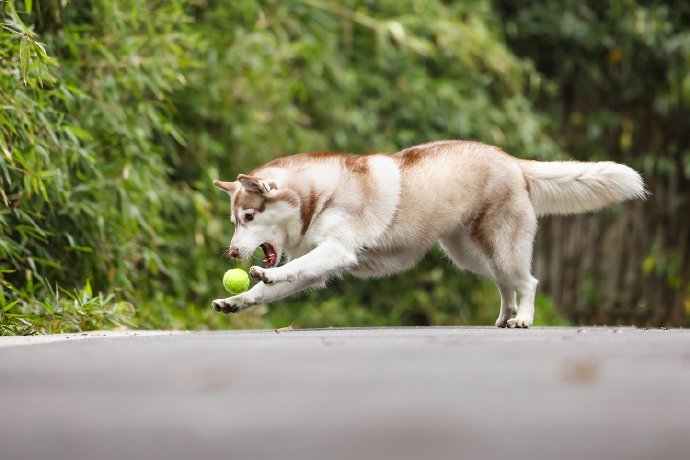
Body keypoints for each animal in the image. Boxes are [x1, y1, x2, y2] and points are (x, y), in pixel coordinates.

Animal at [211, 140, 644, 328]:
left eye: (248, 216)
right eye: (235, 221)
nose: (231, 254)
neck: (320, 194)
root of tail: (511, 160)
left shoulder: (337, 249)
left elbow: (285, 270)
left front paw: (267, 273)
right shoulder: (318, 267)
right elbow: (266, 290)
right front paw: (235, 301)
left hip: (502, 248)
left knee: (529, 282)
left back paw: (524, 318)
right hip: (469, 255)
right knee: (506, 284)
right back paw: (505, 316)